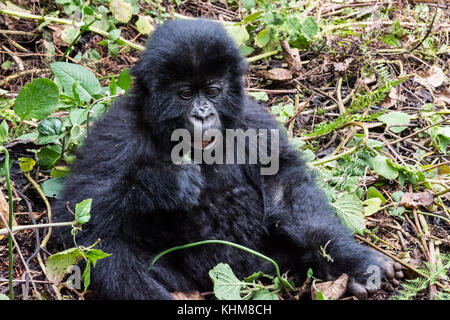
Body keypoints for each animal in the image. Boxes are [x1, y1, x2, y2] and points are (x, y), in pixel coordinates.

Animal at [51, 19, 400, 300]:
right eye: (186, 94)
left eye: (212, 91)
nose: (203, 114)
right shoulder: (118, 130)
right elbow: (74, 211)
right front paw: (164, 184)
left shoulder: (254, 123)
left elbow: (285, 190)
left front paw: (352, 259)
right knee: (104, 247)